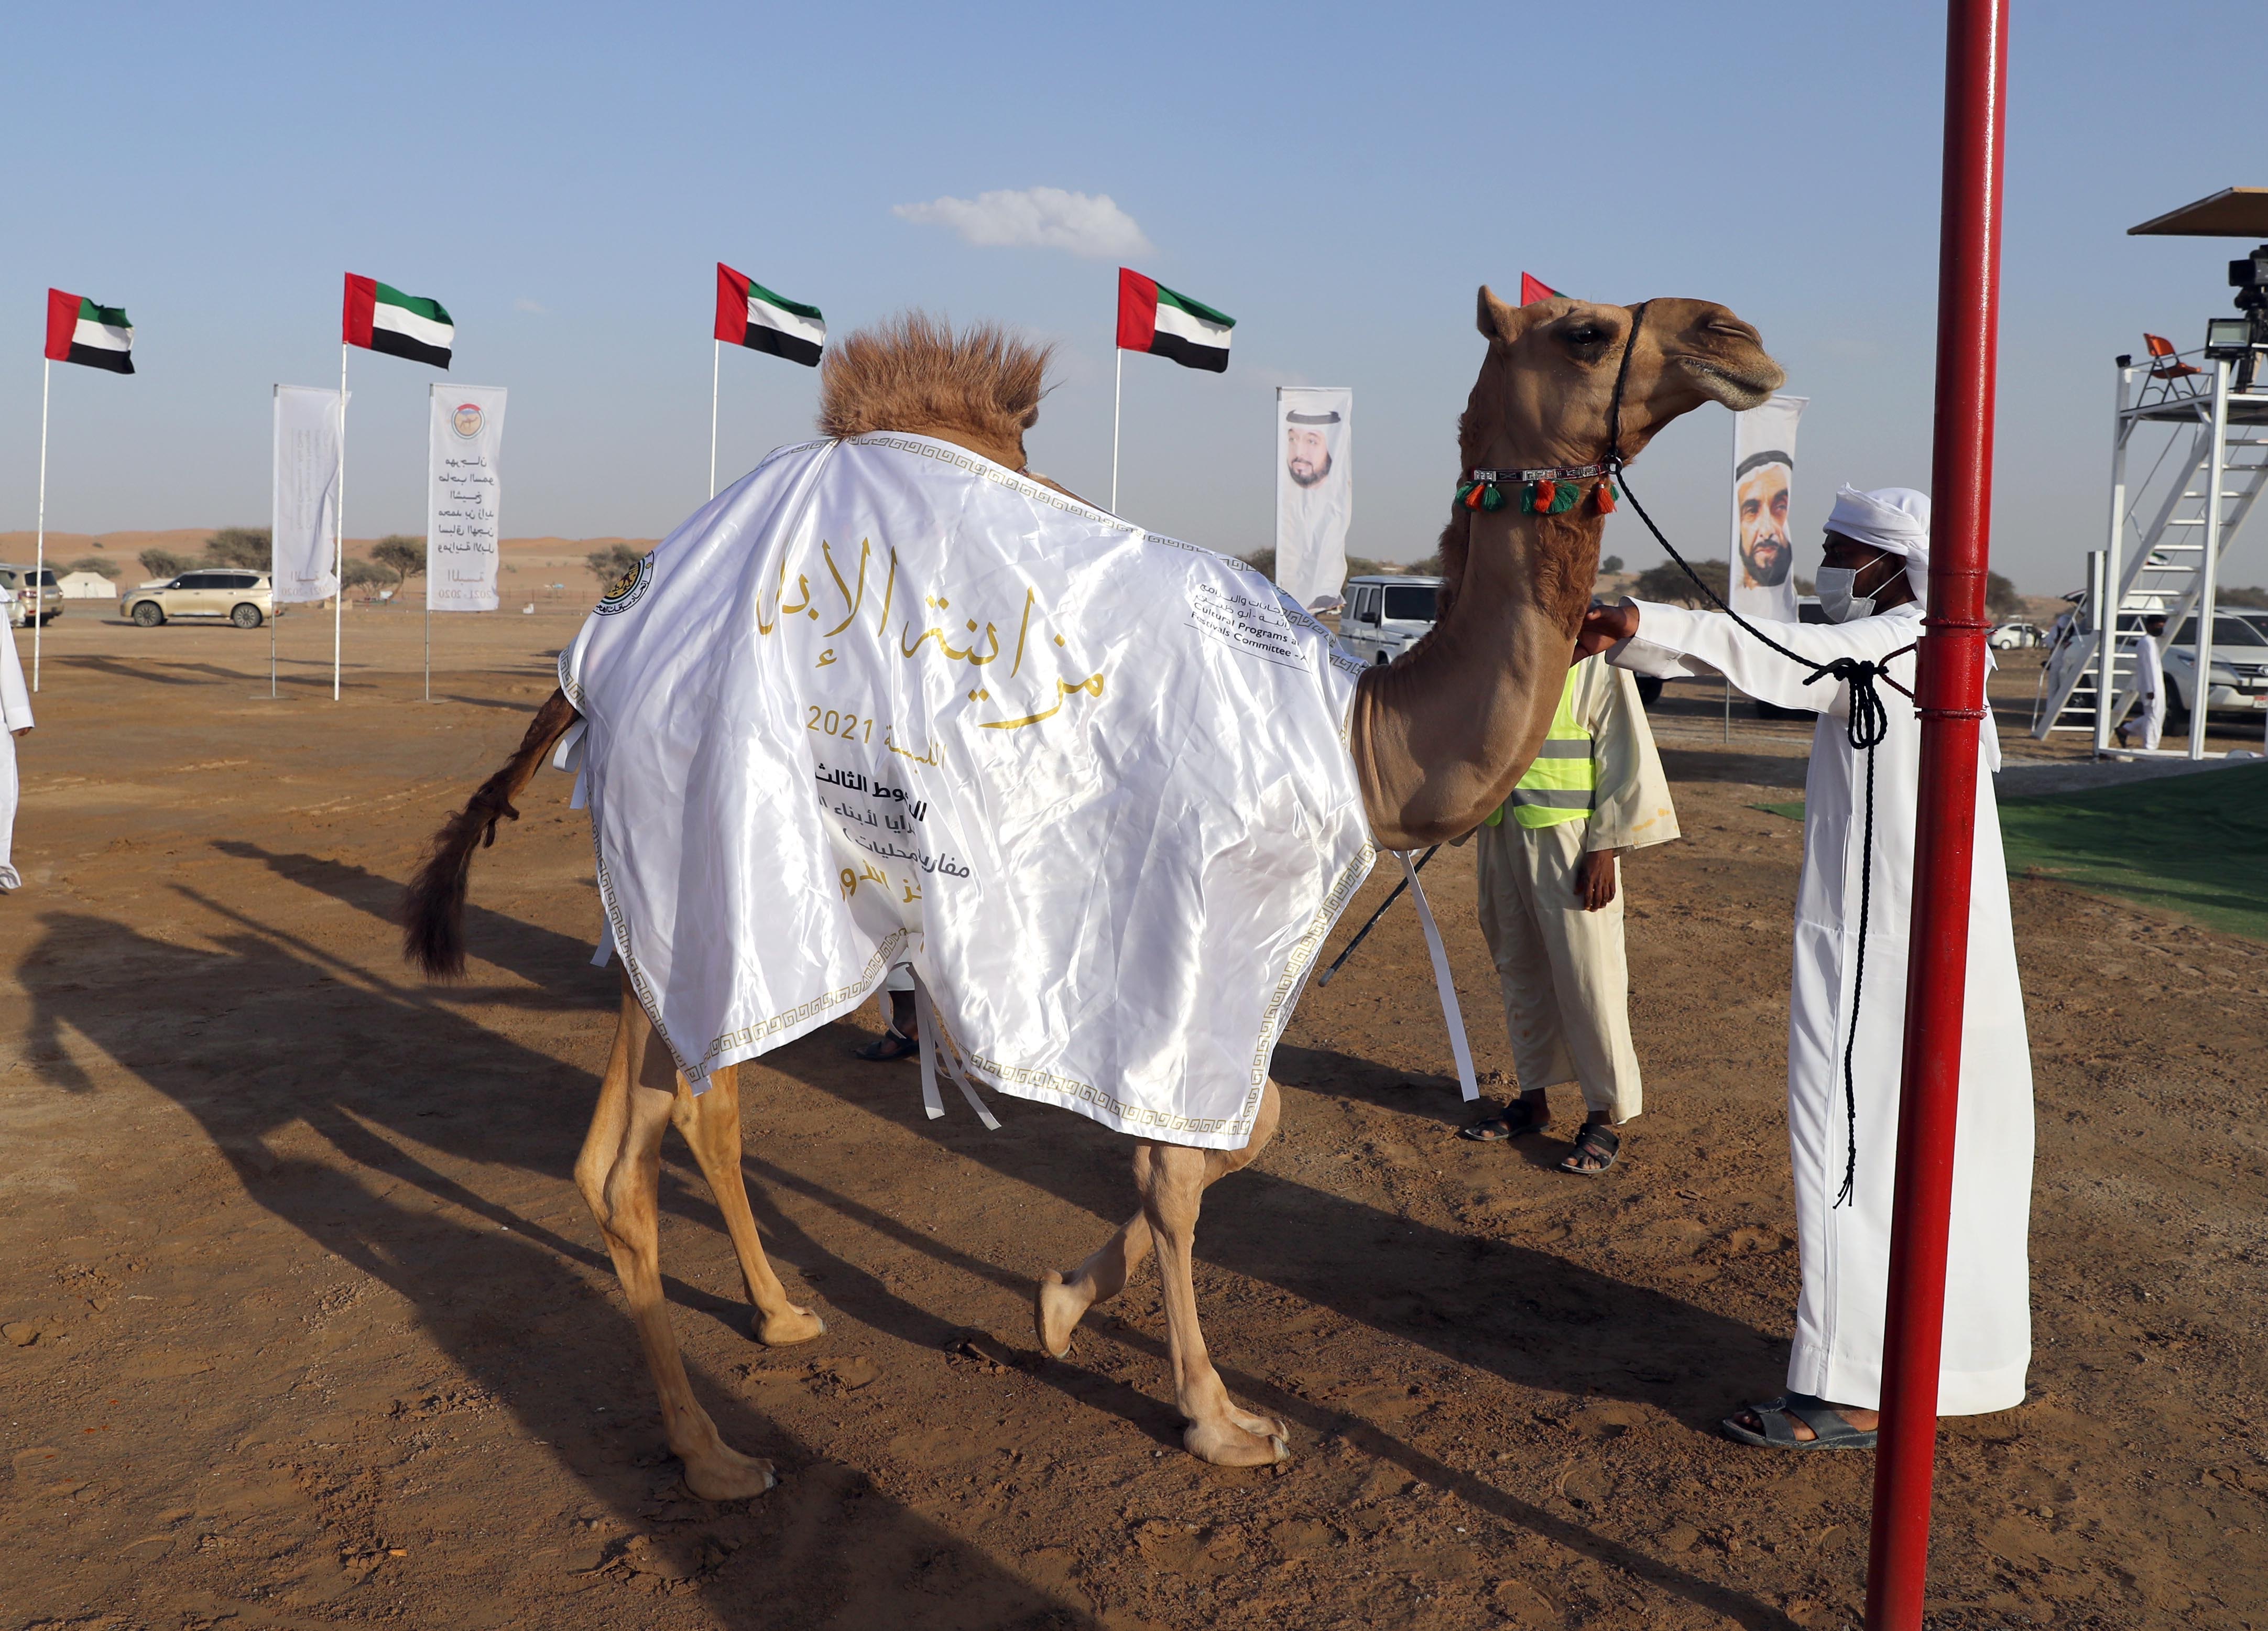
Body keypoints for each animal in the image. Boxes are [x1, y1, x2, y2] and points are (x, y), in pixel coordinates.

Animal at [399, 290, 1778, 1497]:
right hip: (709, 860)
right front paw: (1217, 1416)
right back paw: (716, 1454)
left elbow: (1253, 1131)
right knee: (638, 1153)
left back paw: (783, 1316)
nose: (1737, 335)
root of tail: (598, 646)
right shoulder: (1194, 944)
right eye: (1584, 327)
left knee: (670, 1124)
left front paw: (1059, 1305)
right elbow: (1181, 1169)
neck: (1360, 729)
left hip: (695, 908)